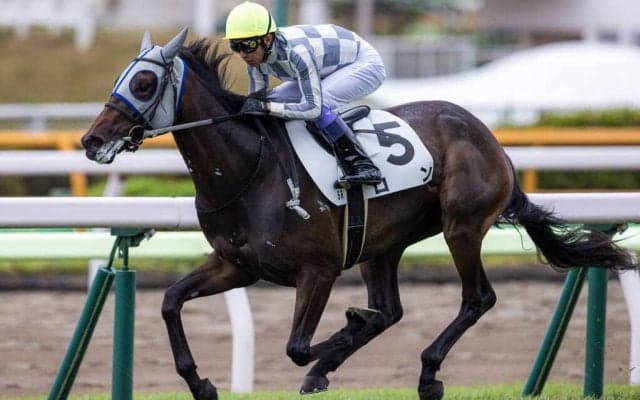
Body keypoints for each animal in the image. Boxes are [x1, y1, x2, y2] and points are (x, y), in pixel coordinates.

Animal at [81, 29, 635, 400]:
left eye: (145, 82)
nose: (91, 140)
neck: (247, 169)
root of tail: (488, 137)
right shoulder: (236, 265)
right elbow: (171, 301)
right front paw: (201, 383)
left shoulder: (319, 269)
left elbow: (297, 345)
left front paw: (336, 339)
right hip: (380, 243)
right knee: (391, 310)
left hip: (461, 226)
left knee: (477, 298)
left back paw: (426, 373)